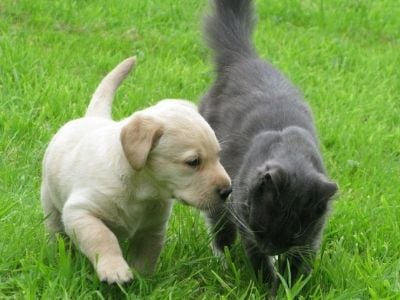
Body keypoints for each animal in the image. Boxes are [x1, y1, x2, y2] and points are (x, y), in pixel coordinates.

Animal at [41, 57, 231, 284]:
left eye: (218, 156)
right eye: (193, 162)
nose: (228, 191)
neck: (141, 190)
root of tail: (93, 117)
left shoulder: (153, 228)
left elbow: (147, 256)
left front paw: (143, 283)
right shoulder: (80, 212)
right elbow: (102, 237)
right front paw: (114, 269)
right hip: (49, 201)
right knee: (55, 230)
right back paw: (57, 254)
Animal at [200, 0, 338, 288]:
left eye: (295, 232)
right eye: (262, 225)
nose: (271, 248)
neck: (292, 153)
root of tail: (245, 58)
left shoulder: (312, 235)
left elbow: (298, 262)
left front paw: (291, 286)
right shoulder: (245, 220)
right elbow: (258, 262)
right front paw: (269, 287)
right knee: (219, 227)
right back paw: (222, 260)